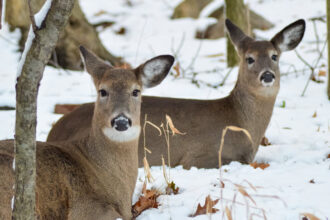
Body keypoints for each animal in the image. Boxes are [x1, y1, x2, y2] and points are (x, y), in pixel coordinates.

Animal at [45, 19, 304, 170]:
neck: (241, 122)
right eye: (249, 58)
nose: (267, 75)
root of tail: (54, 130)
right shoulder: (200, 156)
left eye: (274, 56)